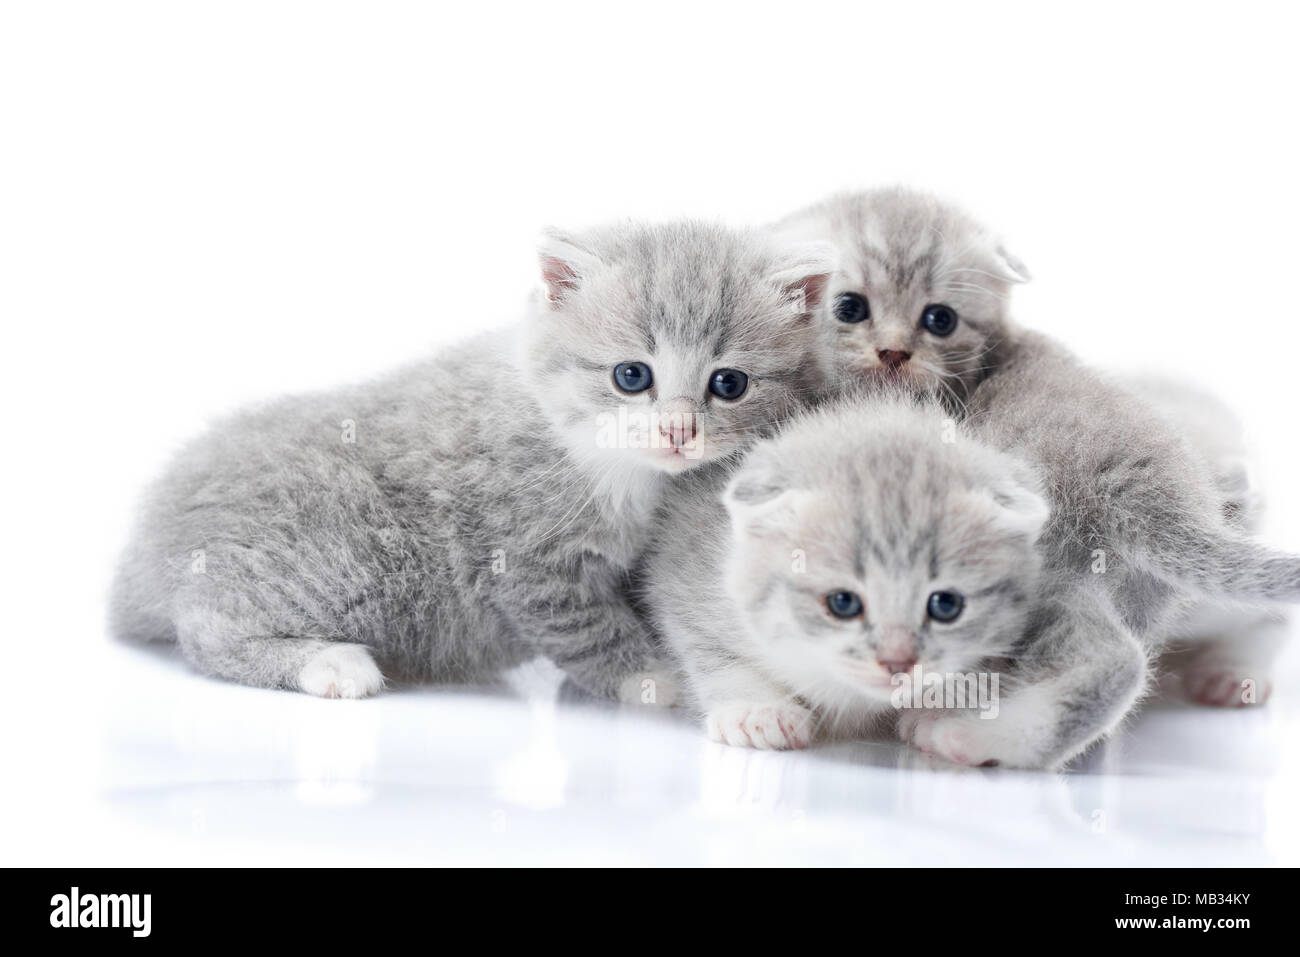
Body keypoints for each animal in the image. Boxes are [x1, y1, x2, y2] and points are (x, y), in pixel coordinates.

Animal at [116, 222, 837, 702]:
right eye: (632, 375)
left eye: (729, 384)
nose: (678, 432)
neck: (606, 463)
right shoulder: (526, 560)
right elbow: (590, 630)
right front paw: (660, 677)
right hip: (344, 561)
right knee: (207, 628)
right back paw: (330, 664)